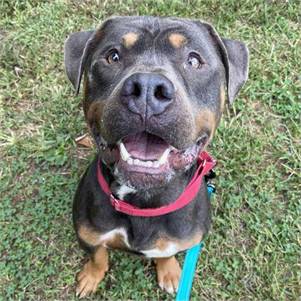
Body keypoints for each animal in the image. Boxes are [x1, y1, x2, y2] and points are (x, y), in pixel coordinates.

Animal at [63, 15, 248, 296]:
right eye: (113, 56)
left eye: (194, 60)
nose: (148, 88)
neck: (144, 201)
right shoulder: (89, 233)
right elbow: (98, 255)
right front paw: (91, 276)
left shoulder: (181, 239)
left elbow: (166, 253)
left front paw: (169, 271)